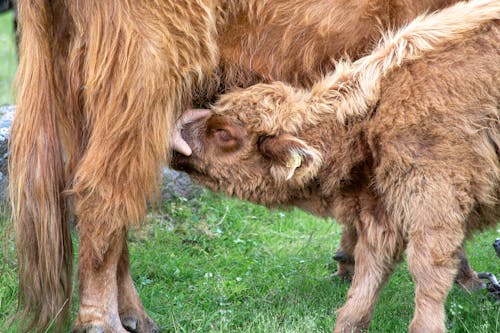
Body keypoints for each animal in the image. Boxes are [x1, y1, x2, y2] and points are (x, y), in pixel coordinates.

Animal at [173, 5, 500, 332]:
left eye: (224, 133)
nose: (177, 132)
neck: (371, 118)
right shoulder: (380, 209)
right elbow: (369, 270)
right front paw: (349, 320)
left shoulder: (435, 200)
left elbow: (427, 269)